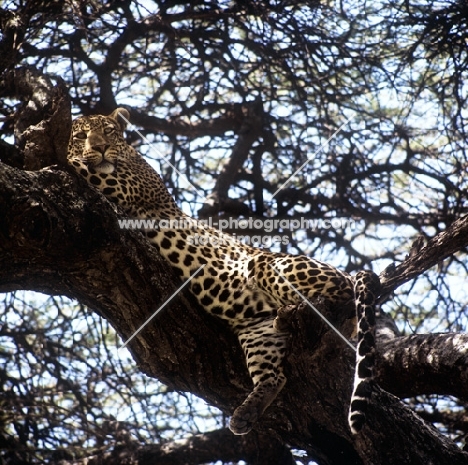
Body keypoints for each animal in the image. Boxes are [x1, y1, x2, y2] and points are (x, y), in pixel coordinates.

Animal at [66, 108, 380, 436]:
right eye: (82, 135)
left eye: (109, 131)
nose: (100, 147)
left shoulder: (124, 185)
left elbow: (78, 164)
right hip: (257, 330)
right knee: (275, 376)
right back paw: (247, 412)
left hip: (269, 266)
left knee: (338, 295)